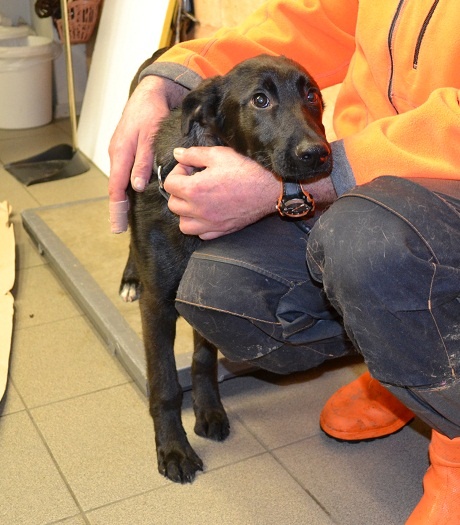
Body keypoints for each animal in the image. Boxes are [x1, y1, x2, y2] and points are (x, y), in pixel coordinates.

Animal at [119, 54, 332, 483]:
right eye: (260, 100)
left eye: (312, 96)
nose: (317, 154)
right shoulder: (157, 307)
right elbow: (165, 384)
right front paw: (173, 449)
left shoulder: (199, 292)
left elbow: (203, 360)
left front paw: (209, 411)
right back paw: (130, 277)